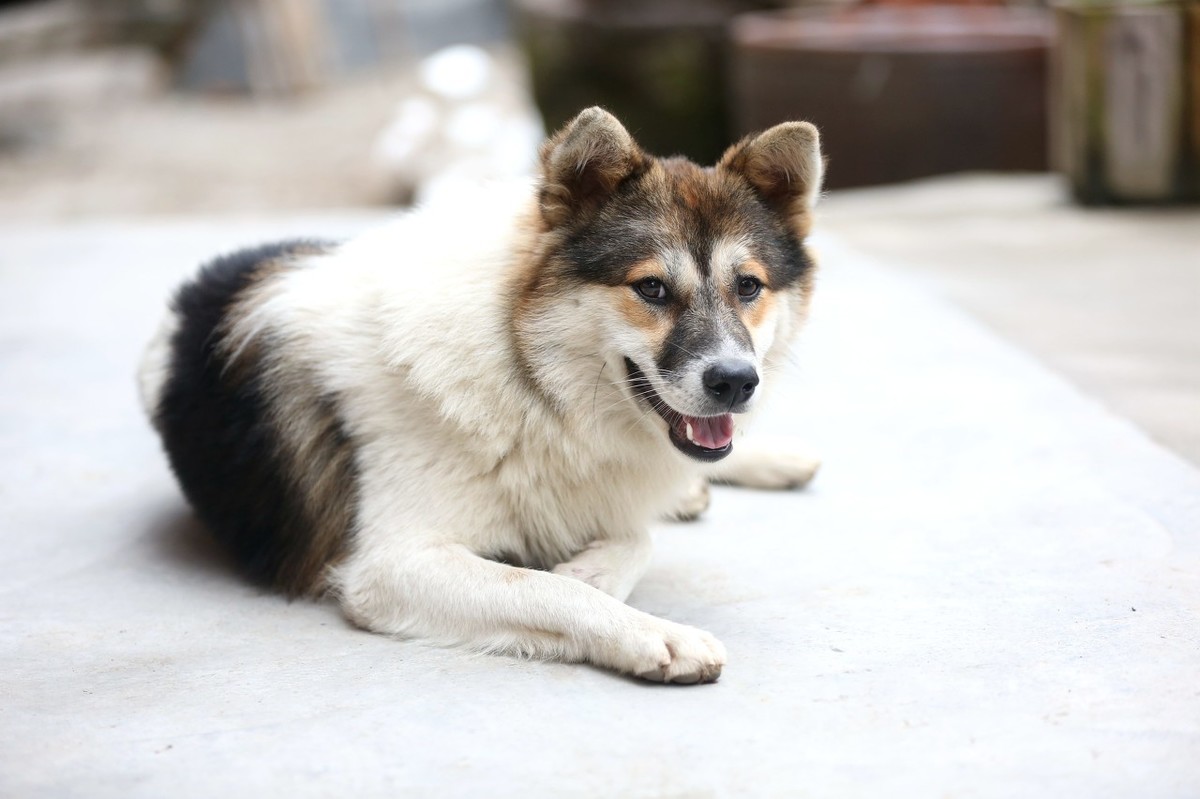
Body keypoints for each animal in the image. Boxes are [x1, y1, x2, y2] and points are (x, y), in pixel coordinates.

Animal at [133, 105, 825, 681]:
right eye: (651, 288)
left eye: (748, 286)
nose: (736, 381)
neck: (527, 373)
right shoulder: (393, 567)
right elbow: (549, 587)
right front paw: (651, 631)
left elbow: (633, 538)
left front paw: (599, 565)